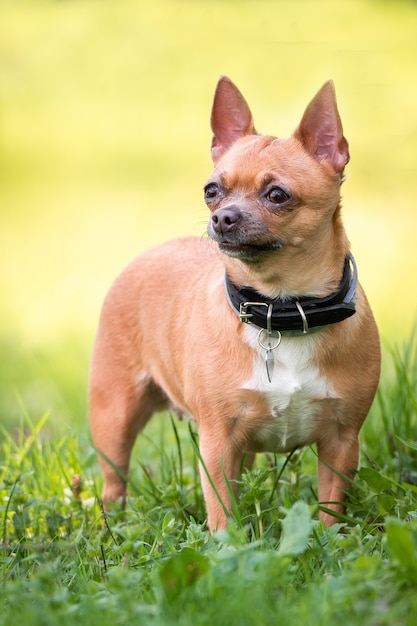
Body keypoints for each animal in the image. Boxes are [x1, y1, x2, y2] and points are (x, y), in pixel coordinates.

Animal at [90, 75, 380, 528]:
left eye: (277, 195)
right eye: (212, 191)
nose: (222, 216)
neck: (282, 308)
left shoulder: (342, 441)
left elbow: (331, 509)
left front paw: (332, 538)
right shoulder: (218, 443)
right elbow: (223, 512)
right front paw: (229, 544)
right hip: (114, 417)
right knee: (113, 481)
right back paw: (113, 526)